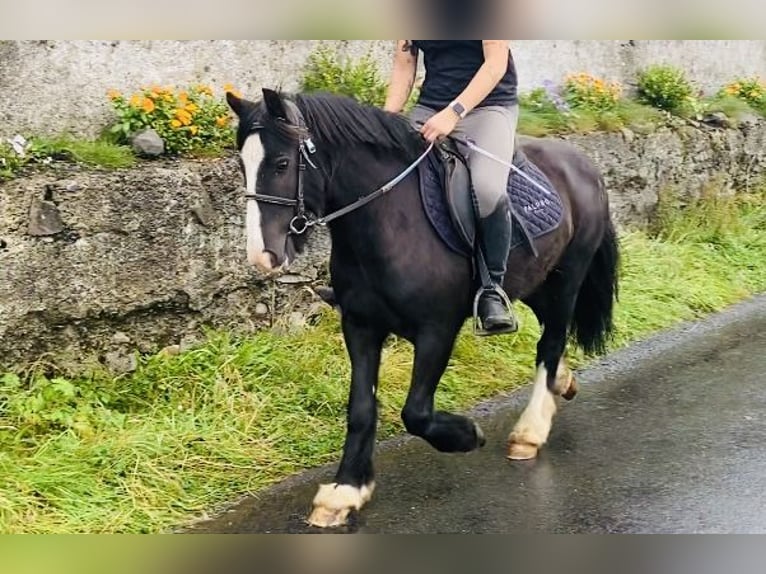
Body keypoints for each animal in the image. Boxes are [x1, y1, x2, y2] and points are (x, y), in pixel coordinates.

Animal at [225, 88, 620, 528]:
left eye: (281, 163)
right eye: (242, 165)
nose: (262, 256)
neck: (390, 219)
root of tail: (582, 163)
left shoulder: (437, 330)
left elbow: (415, 412)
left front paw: (466, 435)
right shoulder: (360, 326)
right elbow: (361, 408)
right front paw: (345, 491)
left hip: (568, 279)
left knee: (550, 344)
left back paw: (529, 431)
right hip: (537, 281)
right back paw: (561, 384)